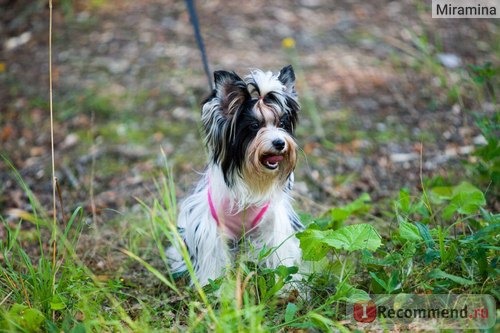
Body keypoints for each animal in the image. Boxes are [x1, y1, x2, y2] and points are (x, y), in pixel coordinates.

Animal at [166, 65, 302, 286]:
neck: (252, 177)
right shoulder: (211, 230)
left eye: (281, 123)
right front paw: (215, 290)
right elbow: (213, 264)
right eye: (254, 126)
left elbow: (282, 258)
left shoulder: (273, 224)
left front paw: (290, 288)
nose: (280, 143)